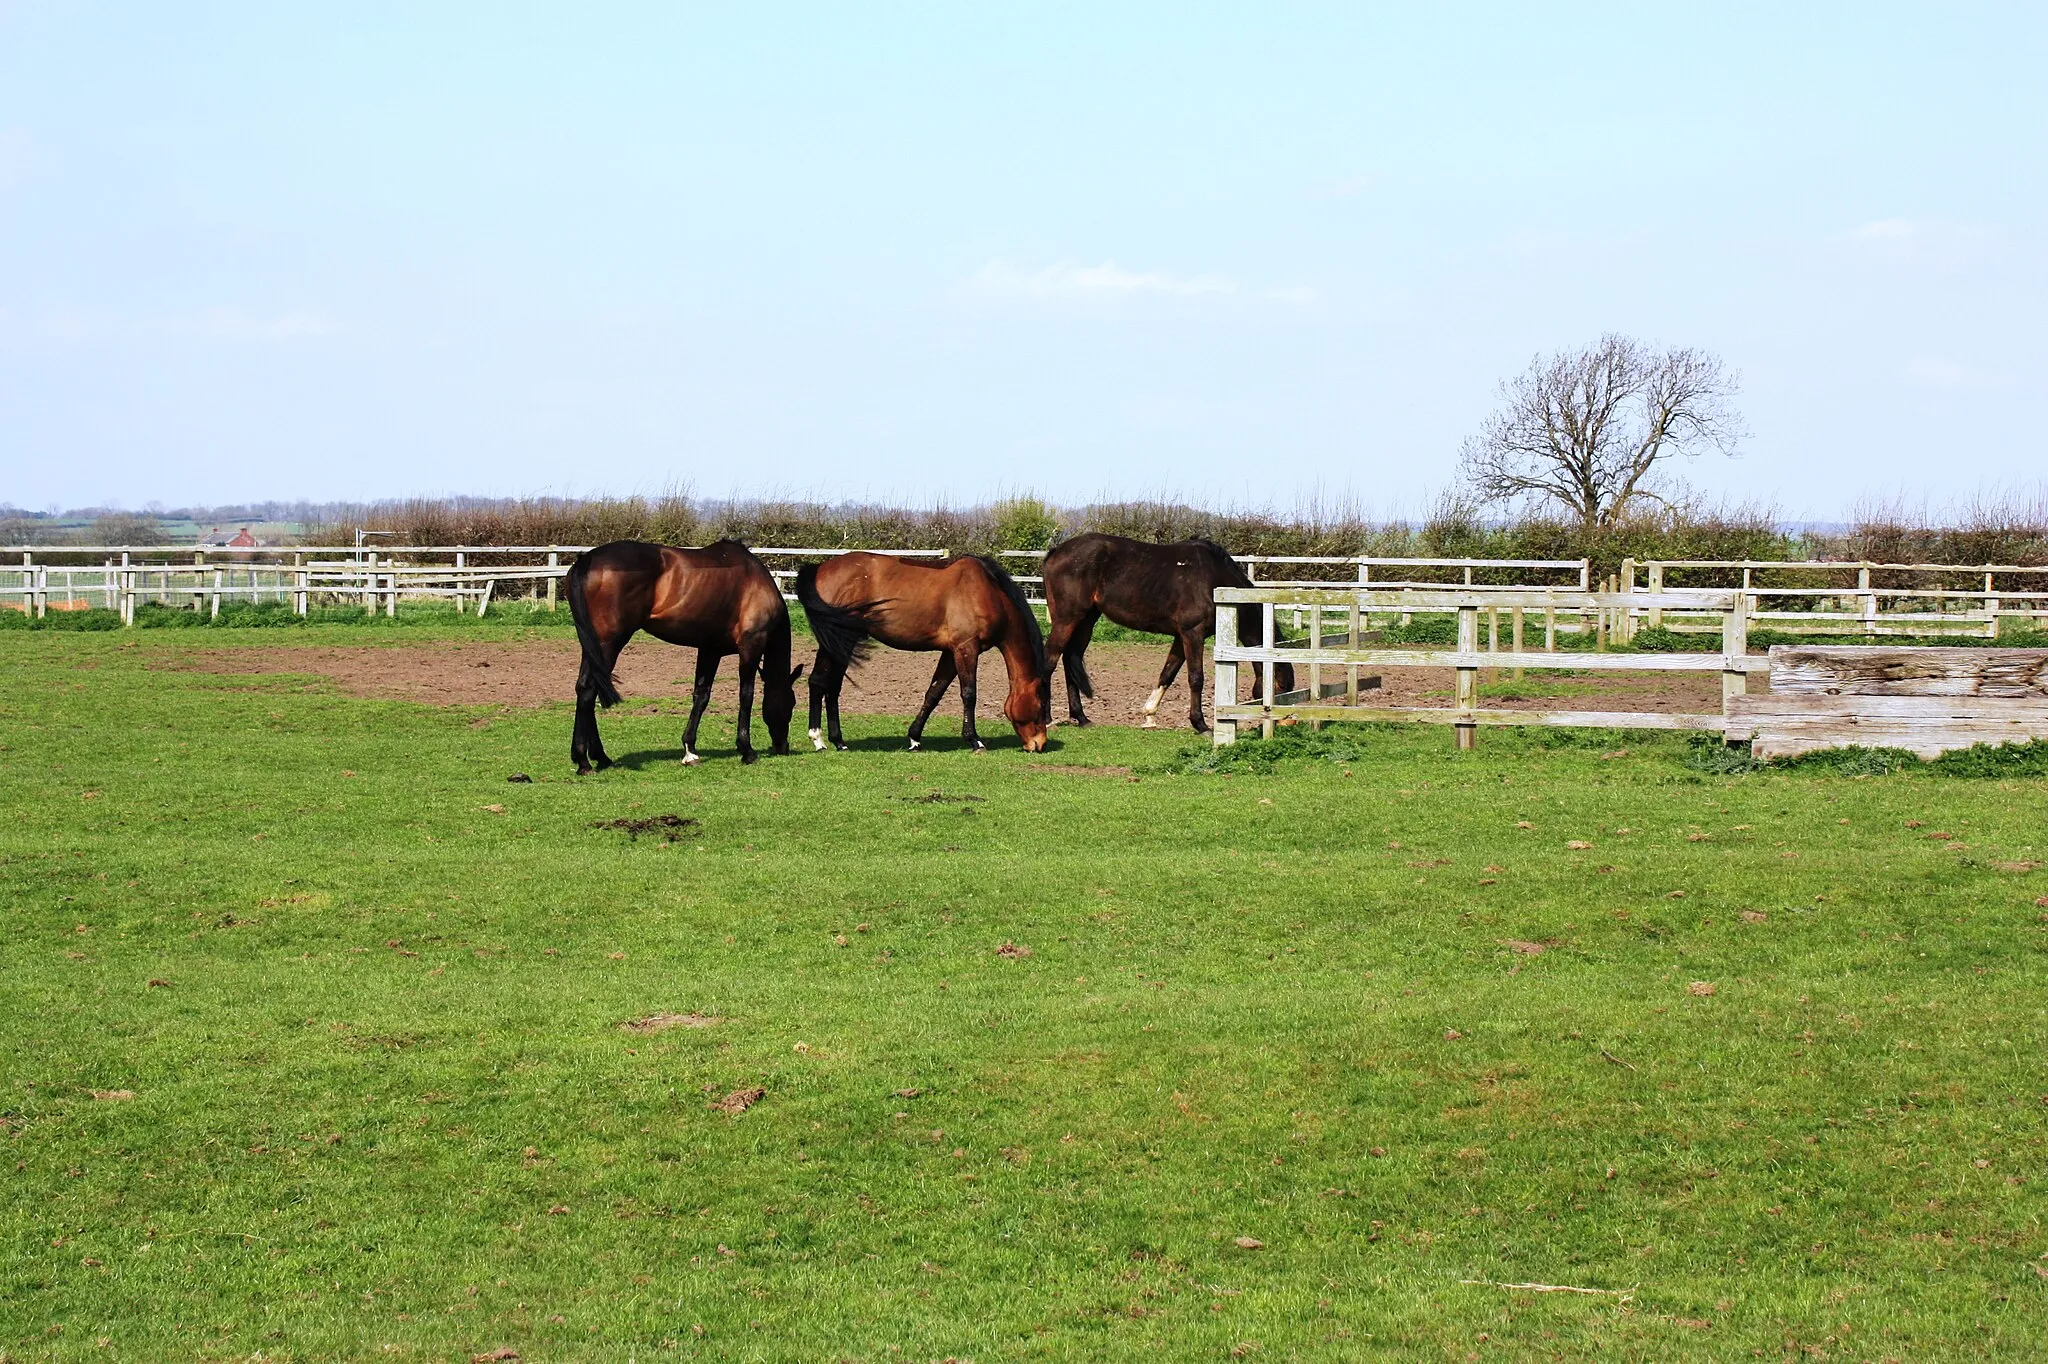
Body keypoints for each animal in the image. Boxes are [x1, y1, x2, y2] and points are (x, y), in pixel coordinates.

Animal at [577, 540, 806, 770]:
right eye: (791, 702)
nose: (782, 746)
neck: (756, 582)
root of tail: (587, 560)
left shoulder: (710, 650)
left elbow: (701, 696)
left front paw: (690, 751)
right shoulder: (751, 646)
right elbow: (746, 695)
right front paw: (746, 750)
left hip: (593, 648)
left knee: (584, 687)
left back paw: (595, 757)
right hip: (609, 644)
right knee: (590, 689)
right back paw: (586, 761)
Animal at [790, 548, 1048, 749]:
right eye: (1040, 707)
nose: (1039, 744)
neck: (987, 591)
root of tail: (820, 568)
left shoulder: (950, 652)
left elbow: (934, 693)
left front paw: (914, 738)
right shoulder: (966, 648)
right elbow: (969, 693)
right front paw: (974, 740)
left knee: (830, 686)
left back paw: (838, 741)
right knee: (820, 682)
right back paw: (819, 740)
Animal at [1040, 528, 1294, 729]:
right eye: (1281, 687)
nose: (1287, 722)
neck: (1213, 579)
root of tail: (1056, 552)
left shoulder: (1181, 637)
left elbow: (1167, 673)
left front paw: (1149, 715)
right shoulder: (1193, 633)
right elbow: (1196, 677)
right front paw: (1200, 724)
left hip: (1086, 621)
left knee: (1070, 659)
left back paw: (1081, 717)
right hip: (1066, 619)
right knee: (1050, 660)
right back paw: (1046, 718)